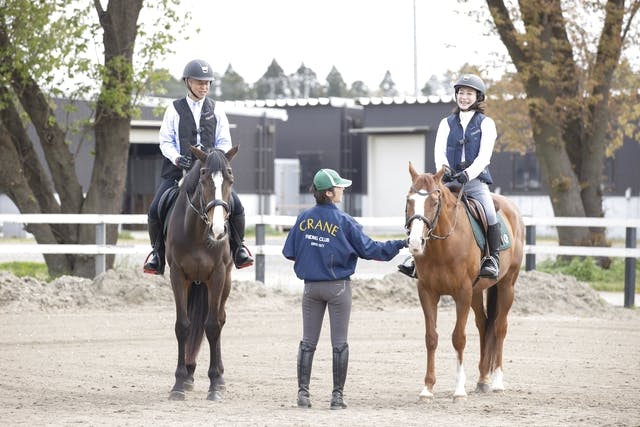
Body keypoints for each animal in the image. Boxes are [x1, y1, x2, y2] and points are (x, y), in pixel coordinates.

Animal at [165, 145, 238, 402]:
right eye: (204, 177)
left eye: (230, 178)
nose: (218, 231)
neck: (197, 232)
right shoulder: (178, 276)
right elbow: (183, 326)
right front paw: (179, 383)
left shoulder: (217, 276)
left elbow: (213, 326)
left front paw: (215, 384)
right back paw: (188, 375)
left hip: (225, 282)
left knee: (220, 319)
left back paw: (221, 379)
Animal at [408, 163, 524, 402]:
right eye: (409, 200)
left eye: (434, 202)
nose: (415, 243)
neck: (443, 246)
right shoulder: (427, 292)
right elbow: (431, 338)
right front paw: (427, 389)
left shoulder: (462, 293)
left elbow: (458, 338)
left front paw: (459, 391)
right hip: (477, 292)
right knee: (484, 324)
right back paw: (482, 380)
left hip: (506, 286)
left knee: (500, 327)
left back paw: (497, 381)